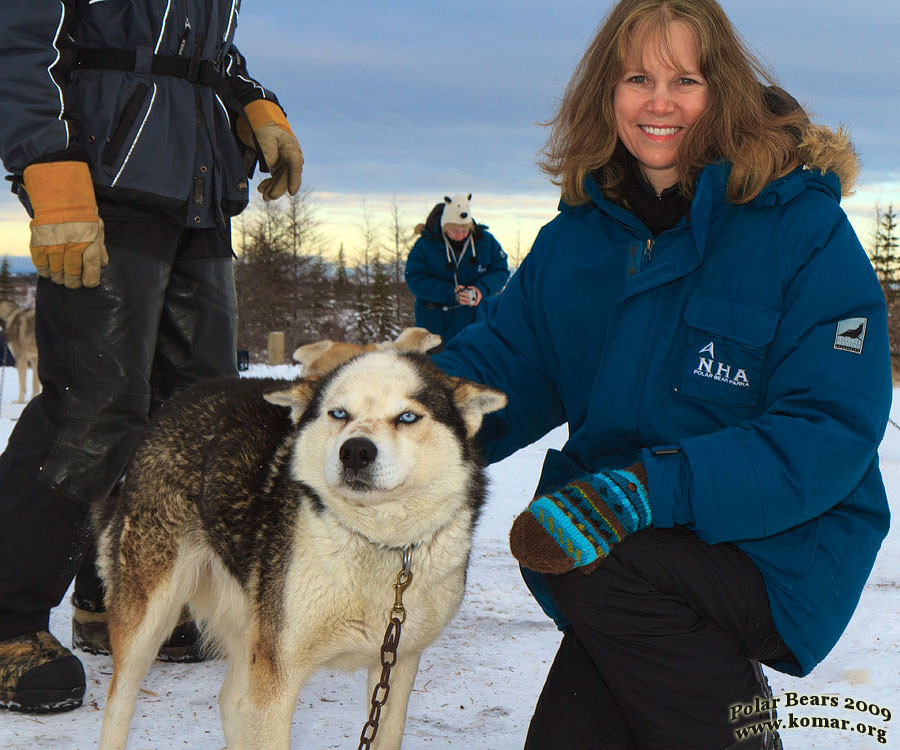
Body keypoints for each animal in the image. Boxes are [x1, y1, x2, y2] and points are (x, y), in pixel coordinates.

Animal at [97, 352, 510, 750]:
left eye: (407, 417)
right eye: (339, 413)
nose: (355, 451)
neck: (374, 539)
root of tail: (178, 400)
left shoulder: (396, 667)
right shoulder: (277, 676)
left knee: (230, 700)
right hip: (149, 617)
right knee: (119, 703)